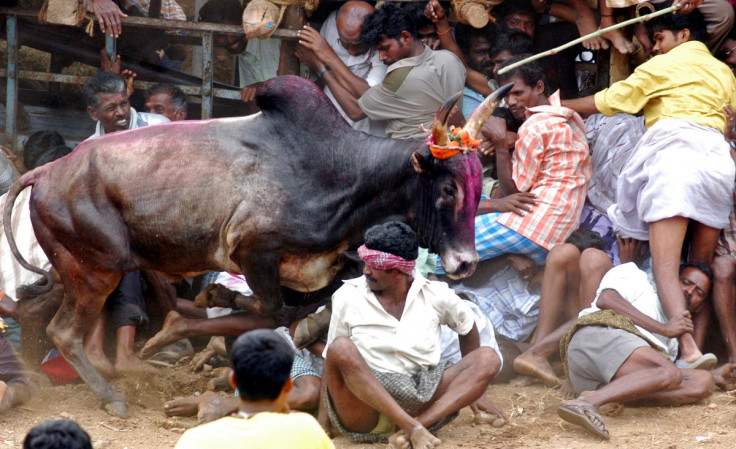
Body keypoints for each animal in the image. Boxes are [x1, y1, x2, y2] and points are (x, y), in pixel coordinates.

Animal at [4, 75, 512, 414]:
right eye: (447, 188)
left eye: (477, 185)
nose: (465, 263)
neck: (343, 173)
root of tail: (46, 172)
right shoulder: (255, 252)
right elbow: (271, 309)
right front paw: (201, 308)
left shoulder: (327, 266)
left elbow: (302, 306)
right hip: (97, 271)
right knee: (63, 331)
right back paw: (111, 397)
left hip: (73, 271)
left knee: (31, 310)